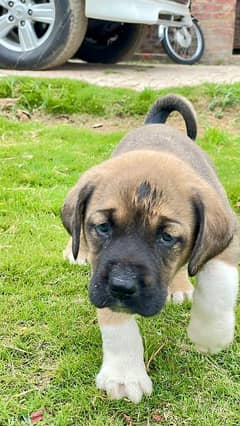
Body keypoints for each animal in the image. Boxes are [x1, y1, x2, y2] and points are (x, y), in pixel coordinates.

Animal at [61, 94, 238, 402]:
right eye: (103, 227)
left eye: (166, 237)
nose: (121, 287)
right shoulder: (101, 277)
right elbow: (116, 322)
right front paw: (124, 375)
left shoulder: (228, 237)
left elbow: (218, 283)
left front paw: (209, 334)